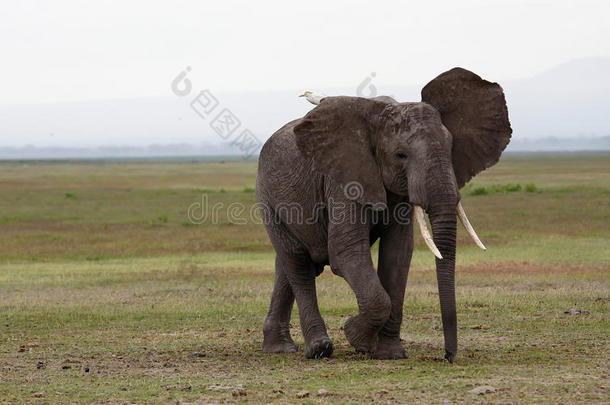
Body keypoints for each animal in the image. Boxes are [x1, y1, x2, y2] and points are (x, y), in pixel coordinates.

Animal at [254, 68, 510, 362]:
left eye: (451, 148)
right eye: (400, 155)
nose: (448, 356)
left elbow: (398, 253)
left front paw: (389, 352)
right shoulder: (342, 176)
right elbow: (346, 251)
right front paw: (356, 336)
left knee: (288, 264)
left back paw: (279, 348)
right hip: (268, 197)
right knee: (297, 263)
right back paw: (319, 349)